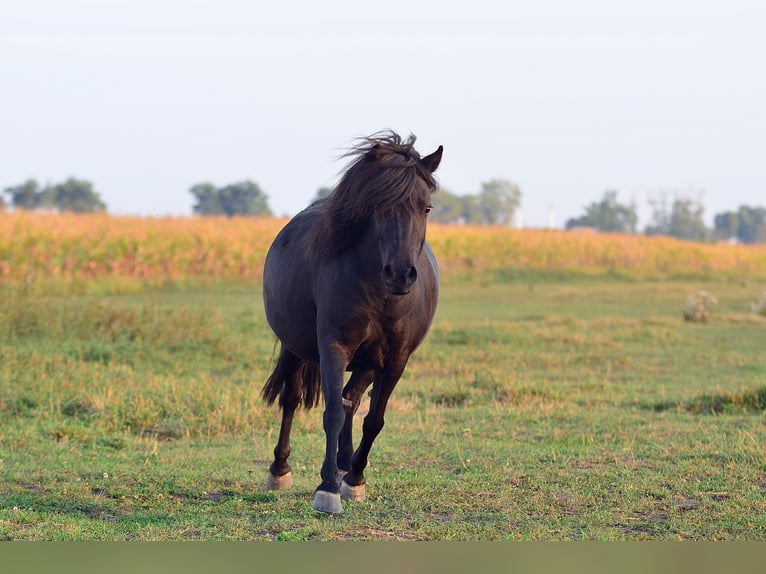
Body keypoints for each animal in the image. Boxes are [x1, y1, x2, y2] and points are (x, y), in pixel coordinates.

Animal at [264, 133, 444, 516]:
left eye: (426, 208)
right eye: (380, 207)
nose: (401, 274)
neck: (379, 292)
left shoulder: (395, 358)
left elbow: (373, 419)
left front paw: (354, 479)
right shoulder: (334, 347)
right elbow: (331, 413)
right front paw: (328, 489)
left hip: (367, 362)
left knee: (352, 398)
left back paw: (344, 464)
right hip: (295, 348)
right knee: (293, 399)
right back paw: (280, 470)